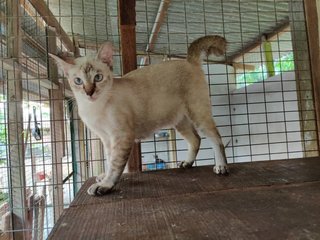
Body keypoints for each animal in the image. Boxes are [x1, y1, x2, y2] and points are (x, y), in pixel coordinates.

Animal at [50, 36, 229, 197]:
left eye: (98, 78)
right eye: (78, 81)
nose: (89, 92)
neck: (94, 108)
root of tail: (188, 60)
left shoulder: (121, 136)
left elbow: (115, 164)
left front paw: (105, 185)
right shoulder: (106, 138)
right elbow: (109, 160)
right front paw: (104, 178)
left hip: (198, 114)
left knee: (216, 139)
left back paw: (221, 167)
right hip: (180, 121)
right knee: (195, 139)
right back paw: (187, 163)